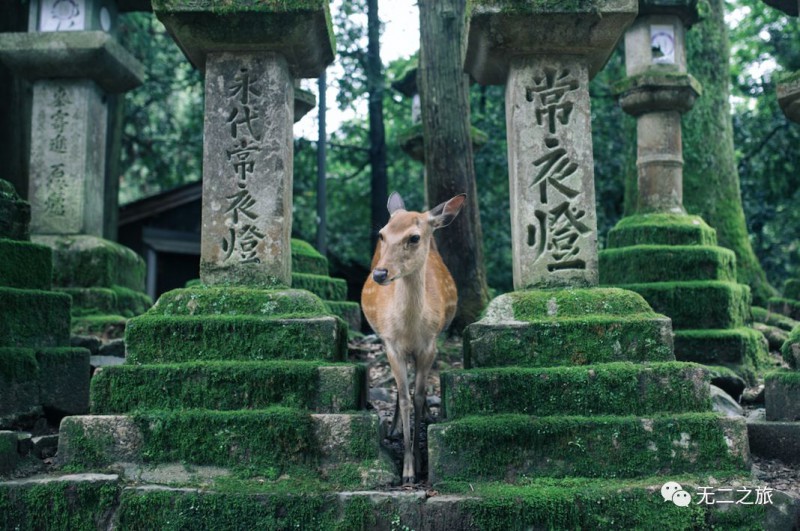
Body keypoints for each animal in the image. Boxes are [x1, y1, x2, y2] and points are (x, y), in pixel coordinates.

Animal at [360, 192, 466, 486]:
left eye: (414, 237)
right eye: (382, 234)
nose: (380, 274)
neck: (409, 329)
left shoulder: (429, 345)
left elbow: (418, 397)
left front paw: (419, 464)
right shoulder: (391, 344)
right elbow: (406, 398)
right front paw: (406, 470)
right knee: (399, 390)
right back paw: (394, 428)